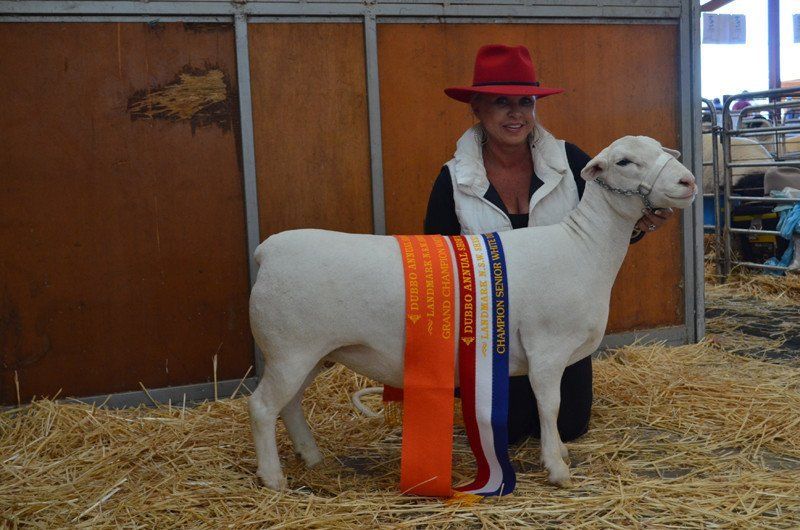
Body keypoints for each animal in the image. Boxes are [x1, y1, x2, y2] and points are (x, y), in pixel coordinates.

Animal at [248, 135, 697, 491]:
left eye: (663, 150)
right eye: (624, 162)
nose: (688, 182)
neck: (584, 247)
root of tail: (267, 250)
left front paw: (559, 455)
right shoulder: (547, 350)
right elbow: (549, 406)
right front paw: (556, 468)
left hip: (309, 353)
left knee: (289, 405)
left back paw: (311, 457)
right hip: (290, 349)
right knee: (262, 407)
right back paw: (273, 478)